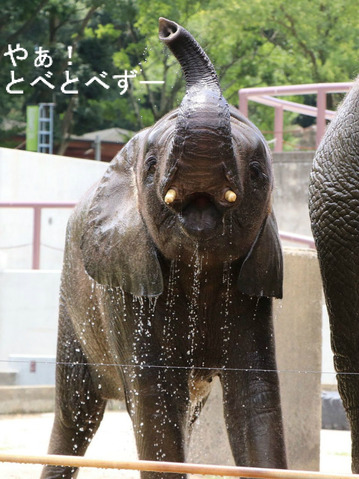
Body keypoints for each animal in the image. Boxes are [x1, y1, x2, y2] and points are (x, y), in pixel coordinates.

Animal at [41, 15, 286, 479]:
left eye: (258, 172)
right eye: (151, 166)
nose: (167, 28)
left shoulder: (254, 283)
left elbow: (255, 397)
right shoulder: (126, 284)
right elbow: (153, 402)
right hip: (70, 303)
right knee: (76, 412)